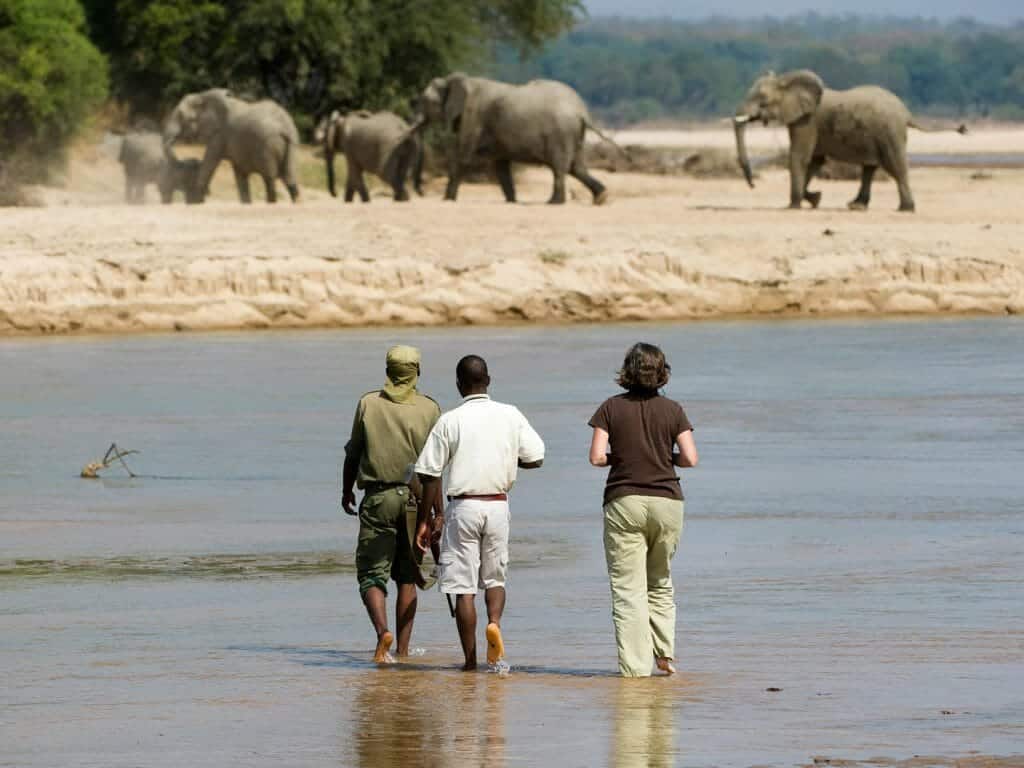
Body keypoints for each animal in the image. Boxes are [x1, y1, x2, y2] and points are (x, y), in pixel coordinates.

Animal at [163, 88, 300, 204]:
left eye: (182, 117)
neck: (202, 96)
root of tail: (285, 127)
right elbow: (240, 175)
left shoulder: (219, 135)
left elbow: (209, 165)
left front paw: (196, 201)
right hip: (292, 145)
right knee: (291, 180)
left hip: (267, 146)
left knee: (269, 180)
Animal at [413, 73, 619, 205]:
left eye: (425, 101)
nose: (421, 193)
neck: (456, 79)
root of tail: (581, 112)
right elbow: (501, 165)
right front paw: (511, 201)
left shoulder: (473, 116)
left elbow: (463, 156)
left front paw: (447, 200)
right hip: (574, 134)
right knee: (576, 168)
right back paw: (601, 197)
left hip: (561, 134)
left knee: (560, 167)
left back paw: (554, 202)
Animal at [732, 70, 962, 212]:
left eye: (762, 100)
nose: (752, 185)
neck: (787, 79)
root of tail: (906, 112)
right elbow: (815, 161)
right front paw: (815, 199)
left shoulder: (807, 120)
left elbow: (800, 157)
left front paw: (793, 206)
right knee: (869, 168)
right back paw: (857, 206)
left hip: (889, 132)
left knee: (895, 167)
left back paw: (906, 209)